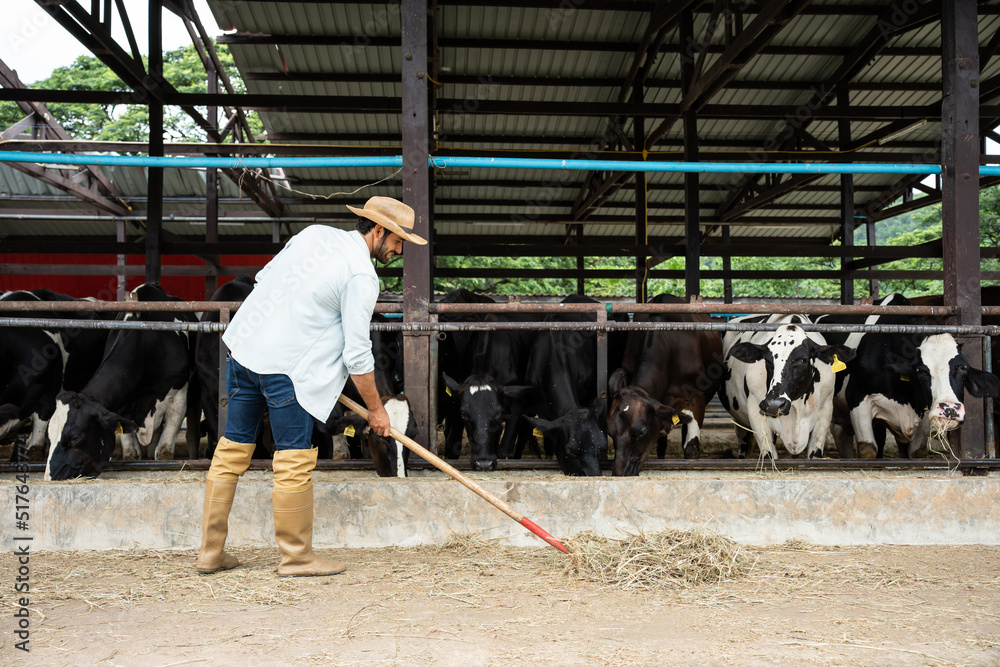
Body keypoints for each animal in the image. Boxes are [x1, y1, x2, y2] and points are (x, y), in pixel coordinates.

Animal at [46, 284, 199, 480]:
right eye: (50, 435)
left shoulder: (178, 398)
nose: (49, 477)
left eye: (75, 437)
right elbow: (131, 453)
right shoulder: (122, 409)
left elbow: (164, 452)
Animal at [812, 294, 1000, 460]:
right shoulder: (857, 398)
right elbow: (868, 449)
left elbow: (917, 451)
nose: (950, 409)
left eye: (963, 368)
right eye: (922, 371)